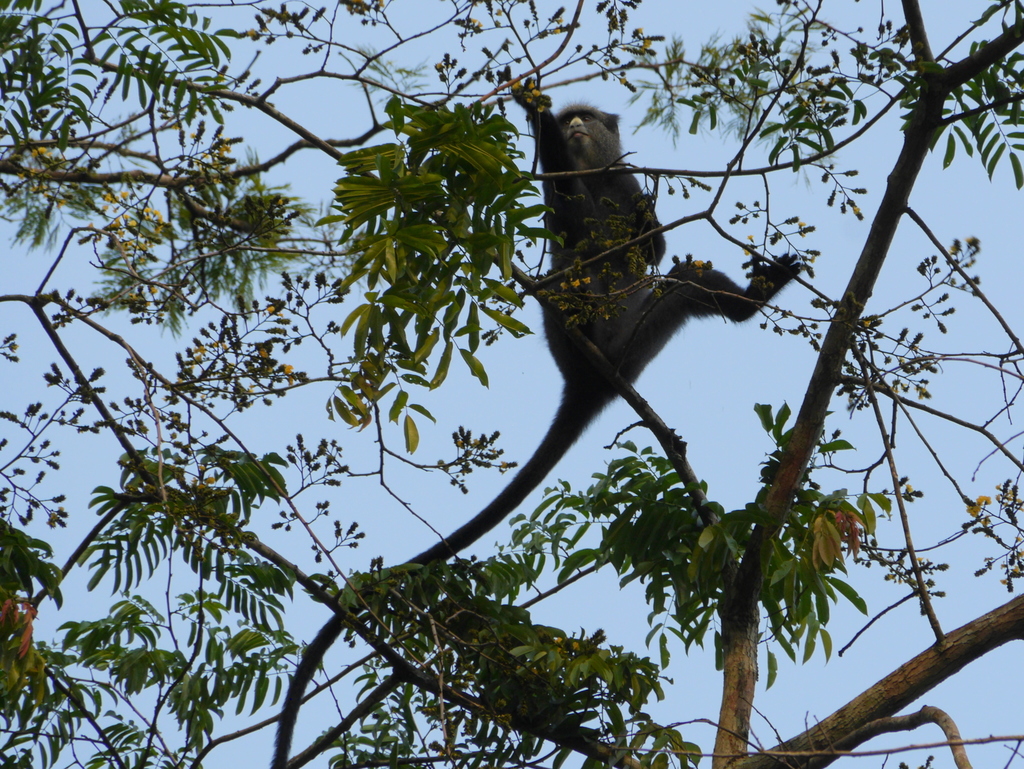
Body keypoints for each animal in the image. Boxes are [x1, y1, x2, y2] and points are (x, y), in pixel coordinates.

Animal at [271, 97, 799, 769]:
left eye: (588, 118)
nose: (571, 126)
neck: (595, 175)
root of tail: (597, 380)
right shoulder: (567, 197)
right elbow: (568, 222)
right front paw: (539, 124)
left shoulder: (624, 183)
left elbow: (655, 251)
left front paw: (636, 214)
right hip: (573, 332)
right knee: (568, 273)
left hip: (640, 338)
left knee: (682, 282)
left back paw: (756, 297)